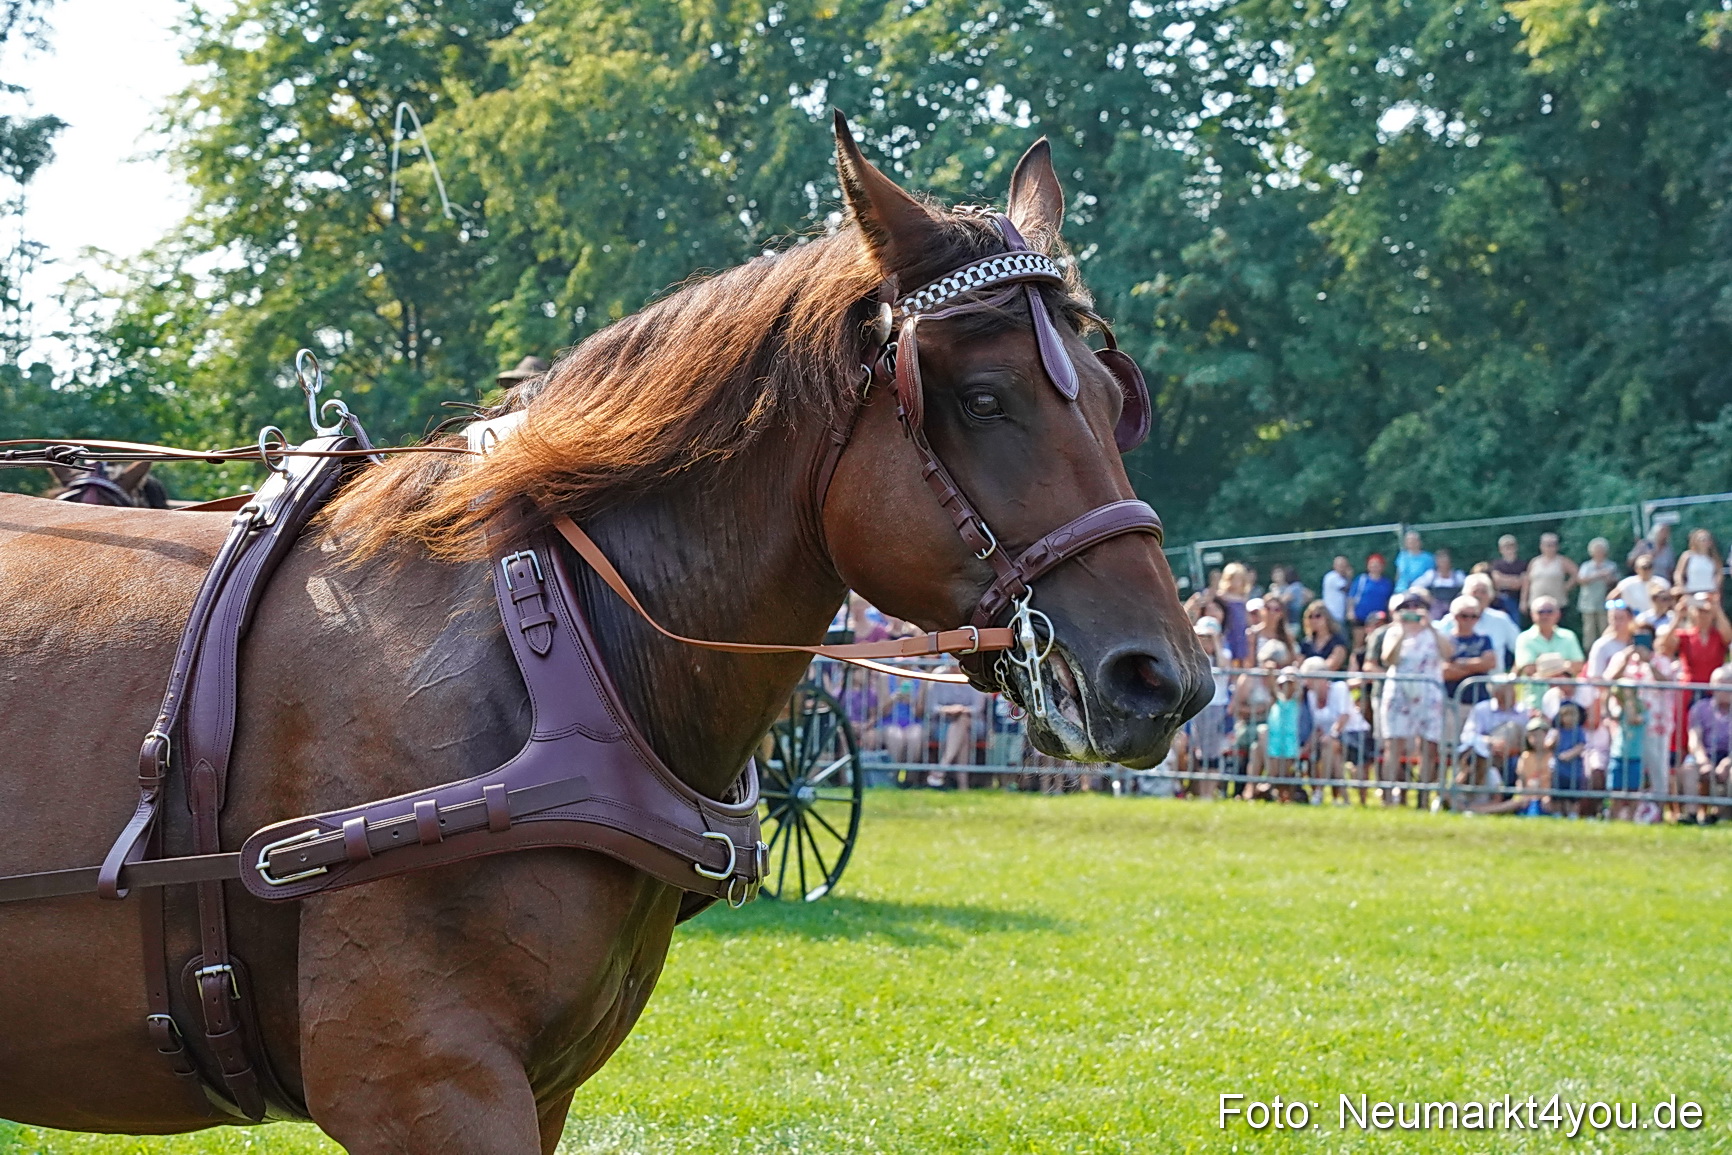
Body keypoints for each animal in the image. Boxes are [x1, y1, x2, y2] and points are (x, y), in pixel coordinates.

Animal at [0, 117, 1209, 1151]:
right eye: (985, 398)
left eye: (1115, 399)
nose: (1166, 679)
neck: (556, 641)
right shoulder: (420, 1082)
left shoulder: (539, 1088)